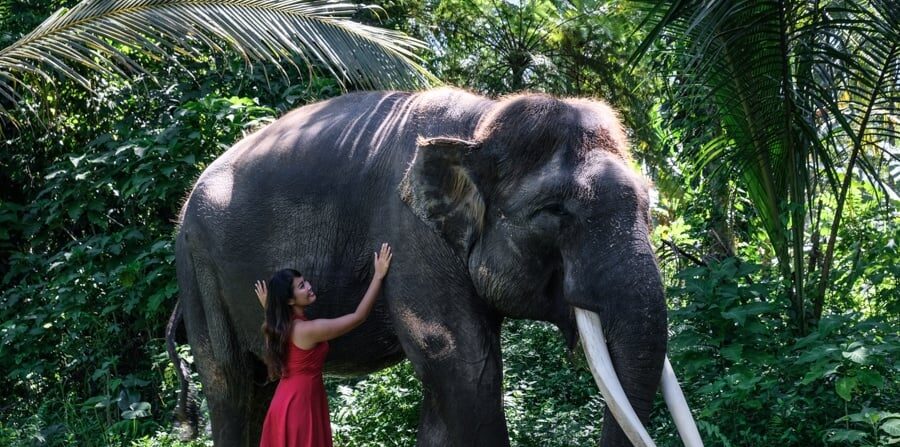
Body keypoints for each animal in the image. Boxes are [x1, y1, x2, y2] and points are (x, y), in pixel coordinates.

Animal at [169, 88, 704, 447]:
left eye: (649, 207)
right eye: (554, 211)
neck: (481, 122)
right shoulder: (411, 235)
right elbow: (465, 367)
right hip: (197, 268)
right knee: (230, 383)